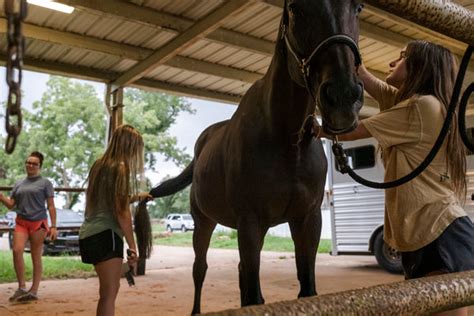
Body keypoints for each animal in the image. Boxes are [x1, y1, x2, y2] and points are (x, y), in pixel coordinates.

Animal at [151, 0, 362, 314]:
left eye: (358, 8)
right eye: (296, 8)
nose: (343, 96)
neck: (286, 142)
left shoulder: (308, 220)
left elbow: (306, 288)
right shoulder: (250, 224)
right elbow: (253, 295)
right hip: (203, 222)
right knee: (200, 270)